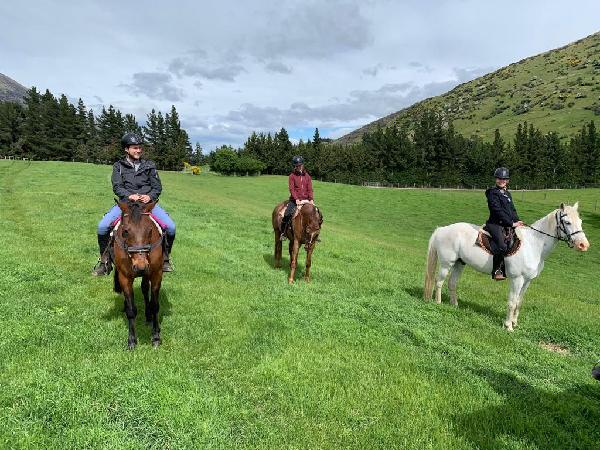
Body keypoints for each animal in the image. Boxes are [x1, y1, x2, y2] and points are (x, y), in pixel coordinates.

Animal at [112, 200, 163, 348]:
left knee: (145, 290)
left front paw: (156, 336)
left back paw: (148, 317)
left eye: (150, 230)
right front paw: (131, 340)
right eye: (125, 231)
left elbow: (155, 305)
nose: (141, 266)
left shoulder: (157, 274)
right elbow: (131, 310)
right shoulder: (124, 277)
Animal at [424, 204, 588, 330]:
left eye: (580, 221)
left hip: (459, 263)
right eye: (567, 222)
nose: (583, 245)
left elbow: (519, 302)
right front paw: (508, 326)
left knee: (452, 283)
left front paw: (515, 323)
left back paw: (455, 305)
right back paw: (438, 302)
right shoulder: (517, 279)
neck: (533, 244)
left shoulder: (527, 281)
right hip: (447, 263)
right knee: (439, 282)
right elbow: (512, 302)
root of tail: (442, 229)